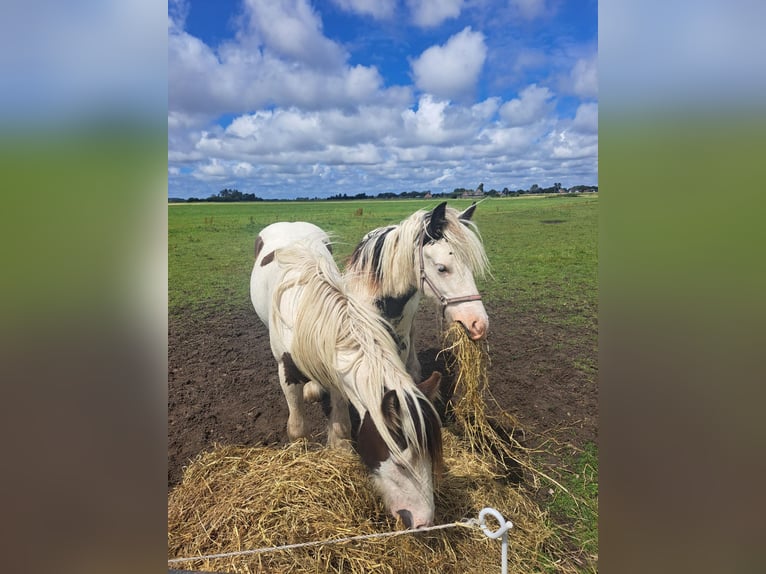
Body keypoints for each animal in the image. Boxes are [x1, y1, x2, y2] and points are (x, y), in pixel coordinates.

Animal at [250, 223, 444, 528]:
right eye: (401, 463)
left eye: (430, 455)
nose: (422, 522)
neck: (308, 307)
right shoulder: (286, 369)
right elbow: (297, 427)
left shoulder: (335, 369)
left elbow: (340, 420)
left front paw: (339, 448)